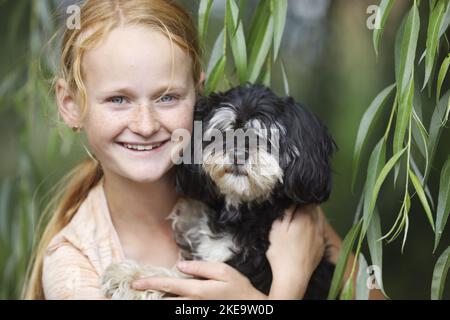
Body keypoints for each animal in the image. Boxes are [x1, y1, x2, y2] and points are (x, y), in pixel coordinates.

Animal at [100, 84, 336, 298]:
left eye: (265, 138)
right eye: (224, 133)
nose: (238, 154)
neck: (243, 212)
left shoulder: (237, 271)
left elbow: (179, 279)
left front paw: (130, 275)